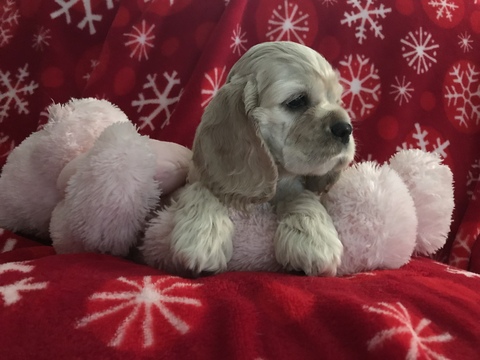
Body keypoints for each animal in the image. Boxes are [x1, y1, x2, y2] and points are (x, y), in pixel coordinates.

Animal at [168, 41, 352, 276]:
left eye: (336, 100)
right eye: (297, 101)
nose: (346, 129)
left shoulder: (296, 187)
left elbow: (302, 196)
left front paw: (314, 241)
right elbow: (204, 187)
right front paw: (202, 238)